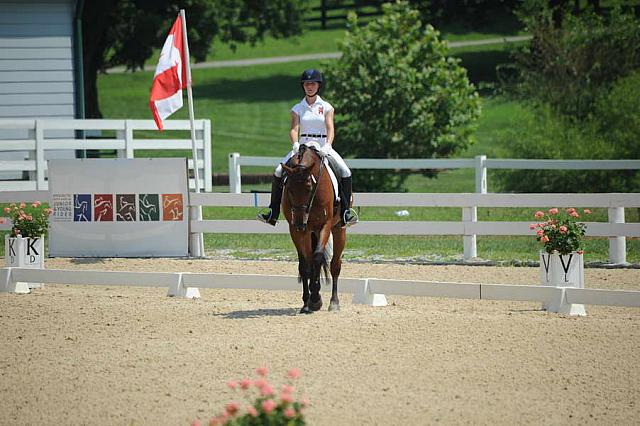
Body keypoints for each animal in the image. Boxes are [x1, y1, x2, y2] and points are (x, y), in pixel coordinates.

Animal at [282, 143, 348, 312]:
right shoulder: (296, 231)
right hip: (309, 231)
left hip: (338, 229)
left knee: (335, 265)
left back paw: (334, 302)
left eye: (309, 188)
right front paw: (308, 301)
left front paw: (316, 299)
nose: (300, 222)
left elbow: (317, 257)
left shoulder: (325, 225)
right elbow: (306, 264)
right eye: (289, 189)